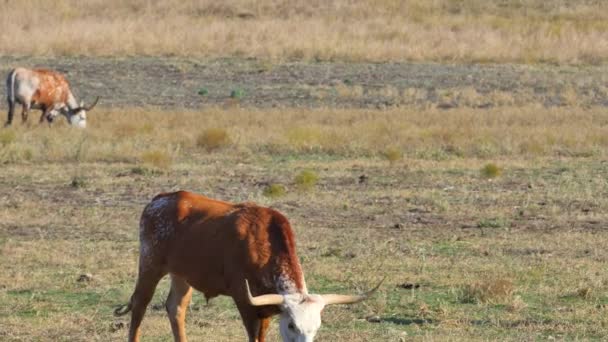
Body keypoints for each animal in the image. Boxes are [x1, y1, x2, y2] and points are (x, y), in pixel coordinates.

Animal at [114, 190, 382, 342]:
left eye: (316, 327)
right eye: (292, 325)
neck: (264, 244)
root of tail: (160, 199)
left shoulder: (266, 309)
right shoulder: (245, 301)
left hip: (182, 274)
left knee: (175, 308)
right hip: (150, 265)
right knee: (139, 307)